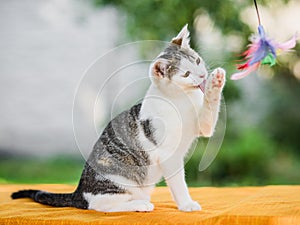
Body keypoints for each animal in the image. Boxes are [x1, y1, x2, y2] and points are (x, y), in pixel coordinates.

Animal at [11, 25, 225, 213]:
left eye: (197, 60)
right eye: (186, 74)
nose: (202, 75)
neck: (182, 98)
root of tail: (79, 191)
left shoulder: (203, 125)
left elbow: (209, 112)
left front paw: (216, 83)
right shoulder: (167, 154)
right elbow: (178, 183)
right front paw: (186, 204)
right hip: (119, 181)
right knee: (100, 206)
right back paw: (139, 204)